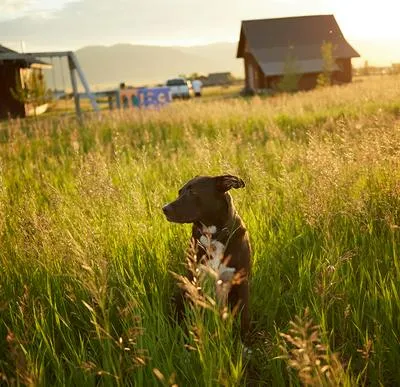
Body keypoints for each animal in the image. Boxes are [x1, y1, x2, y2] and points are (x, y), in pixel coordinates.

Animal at [162, 176, 250, 340]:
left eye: (193, 192)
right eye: (180, 192)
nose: (164, 208)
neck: (213, 236)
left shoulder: (242, 282)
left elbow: (244, 319)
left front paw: (245, 343)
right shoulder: (196, 280)